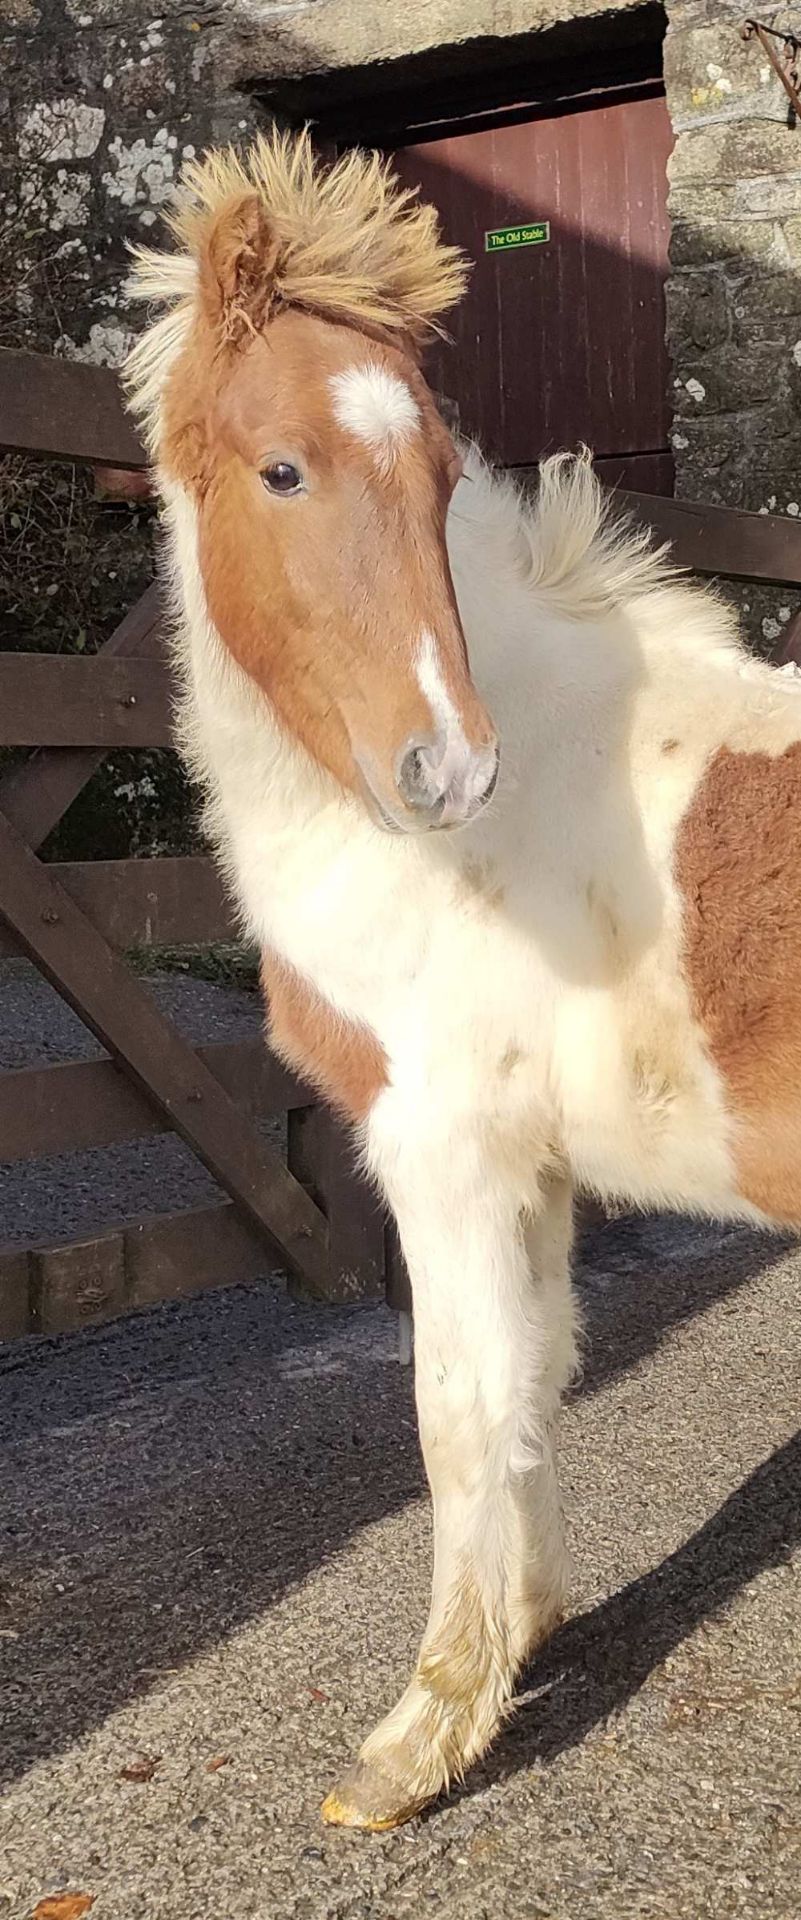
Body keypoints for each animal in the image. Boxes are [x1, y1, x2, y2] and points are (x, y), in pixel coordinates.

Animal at [125, 130, 801, 1831]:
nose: (444, 769)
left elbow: (457, 1409)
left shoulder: (440, 1146)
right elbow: (539, 1381)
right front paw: (526, 1641)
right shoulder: (530, 1162)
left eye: (436, 478)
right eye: (282, 469)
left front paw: (421, 1742)